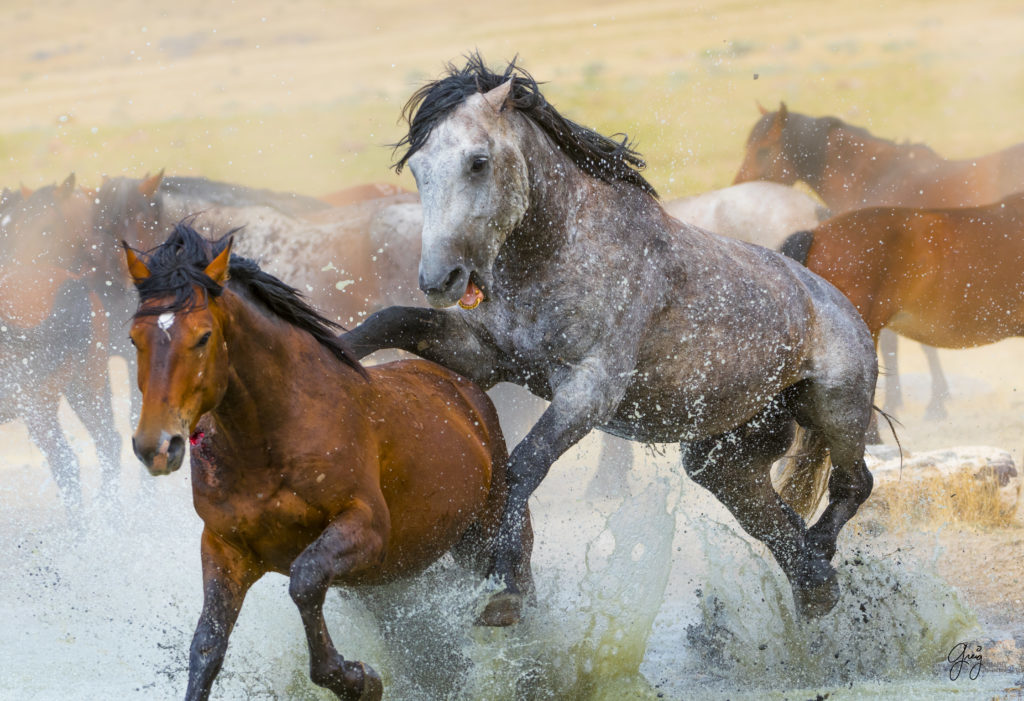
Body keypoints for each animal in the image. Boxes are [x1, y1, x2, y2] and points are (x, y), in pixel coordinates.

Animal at [123, 223, 532, 699]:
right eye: (135, 338)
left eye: (203, 336)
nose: (156, 445)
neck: (269, 445)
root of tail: (463, 390)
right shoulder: (225, 548)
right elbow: (207, 644)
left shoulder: (366, 527)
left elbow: (305, 580)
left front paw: (358, 680)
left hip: (487, 540)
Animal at [339, 57, 876, 622]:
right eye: (418, 169)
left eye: (478, 162)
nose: (440, 279)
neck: (563, 252)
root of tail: (836, 299)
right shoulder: (487, 357)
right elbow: (387, 322)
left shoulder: (590, 391)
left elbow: (521, 467)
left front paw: (503, 580)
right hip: (721, 452)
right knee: (767, 512)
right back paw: (815, 582)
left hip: (834, 405)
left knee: (852, 484)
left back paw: (821, 557)